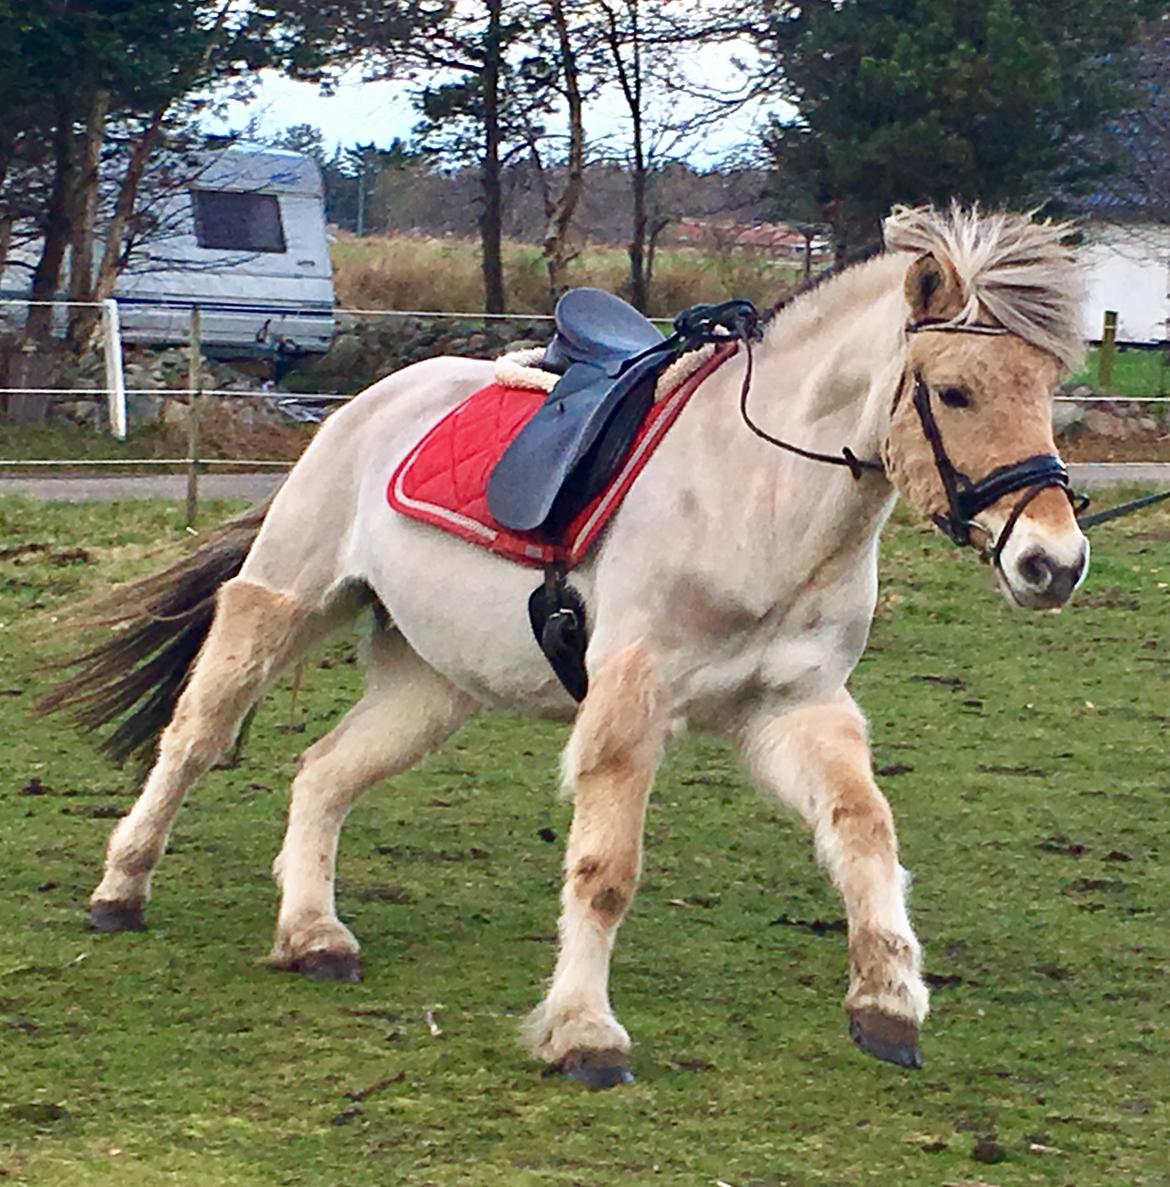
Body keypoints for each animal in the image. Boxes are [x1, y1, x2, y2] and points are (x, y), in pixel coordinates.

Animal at [54, 204, 1086, 1087]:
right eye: (953, 392)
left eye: (1048, 389)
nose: (1054, 561)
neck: (758, 497)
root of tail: (371, 400)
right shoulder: (629, 703)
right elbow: (605, 874)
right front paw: (585, 1033)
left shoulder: (796, 709)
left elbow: (865, 831)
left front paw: (888, 1003)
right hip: (283, 605)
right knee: (192, 738)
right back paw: (120, 889)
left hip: (431, 688)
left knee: (320, 772)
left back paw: (313, 933)